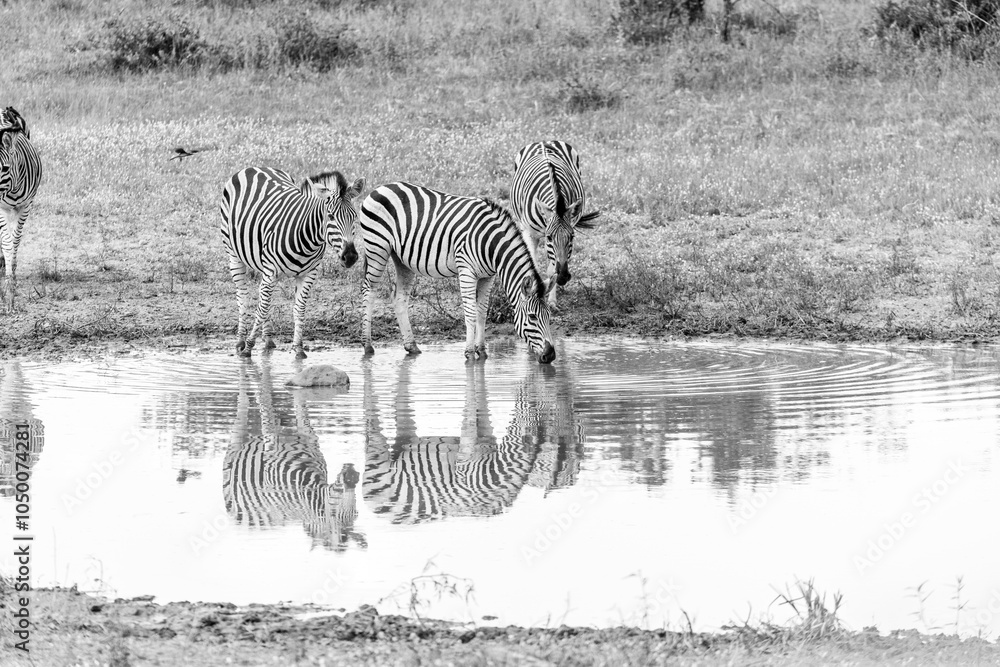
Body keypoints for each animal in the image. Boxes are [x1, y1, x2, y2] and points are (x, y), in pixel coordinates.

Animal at [219, 166, 365, 359]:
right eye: (331, 216)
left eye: (354, 216)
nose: (350, 256)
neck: (307, 239)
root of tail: (254, 167)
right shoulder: (271, 271)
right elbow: (262, 308)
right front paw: (248, 347)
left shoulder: (309, 275)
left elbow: (299, 309)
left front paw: (299, 348)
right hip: (234, 256)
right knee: (243, 298)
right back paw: (240, 341)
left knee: (262, 299)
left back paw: (268, 339)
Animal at [223, 361, 364, 550]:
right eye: (333, 514)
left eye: (355, 513)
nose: (352, 476)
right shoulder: (271, 447)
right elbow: (266, 407)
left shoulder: (311, 441)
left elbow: (300, 412)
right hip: (235, 444)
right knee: (248, 403)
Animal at [358, 182, 556, 364]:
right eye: (532, 317)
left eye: (549, 315)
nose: (551, 355)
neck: (491, 243)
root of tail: (381, 187)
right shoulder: (467, 270)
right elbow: (470, 313)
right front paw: (470, 354)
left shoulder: (488, 276)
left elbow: (482, 312)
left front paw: (482, 351)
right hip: (378, 248)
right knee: (369, 292)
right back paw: (367, 346)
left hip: (403, 260)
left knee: (399, 298)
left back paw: (412, 347)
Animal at [509, 141, 599, 308]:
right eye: (549, 237)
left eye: (572, 237)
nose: (563, 277)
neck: (558, 203)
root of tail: (544, 141)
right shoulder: (531, 234)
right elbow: (534, 267)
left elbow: (551, 271)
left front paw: (551, 301)